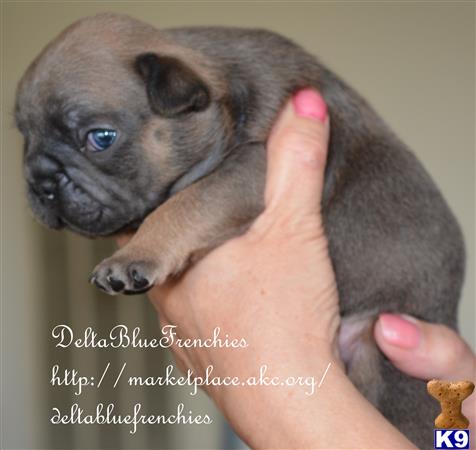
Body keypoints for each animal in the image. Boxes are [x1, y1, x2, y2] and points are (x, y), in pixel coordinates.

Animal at [15, 12, 464, 448]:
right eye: (24, 138)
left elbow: (185, 205)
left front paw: (133, 256)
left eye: (101, 138)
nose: (41, 182)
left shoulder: (249, 168)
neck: (222, 98)